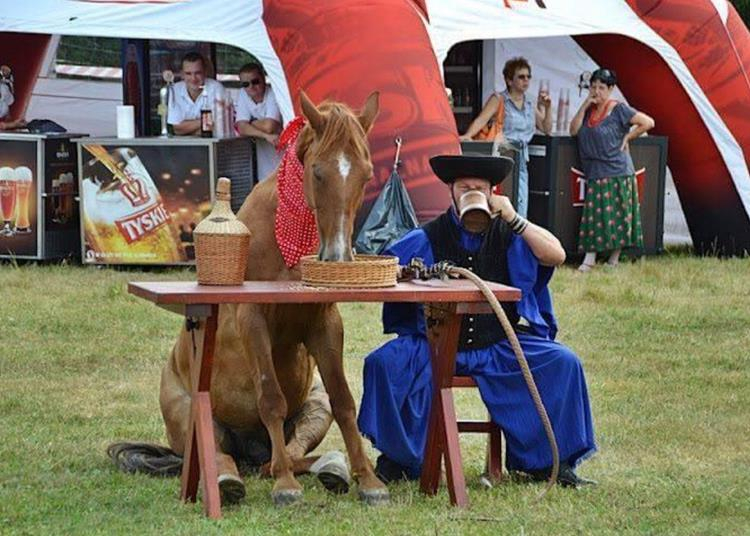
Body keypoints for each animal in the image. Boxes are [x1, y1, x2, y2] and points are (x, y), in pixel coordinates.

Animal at [156, 90, 388, 504]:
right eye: (318, 171)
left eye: (366, 173)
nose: (338, 256)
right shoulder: (253, 321)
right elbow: (270, 399)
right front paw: (286, 485)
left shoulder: (325, 325)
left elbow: (344, 401)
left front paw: (368, 479)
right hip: (195, 419)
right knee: (221, 457)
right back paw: (232, 479)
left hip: (313, 408)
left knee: (294, 452)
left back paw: (331, 468)